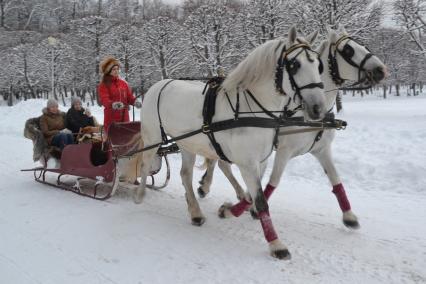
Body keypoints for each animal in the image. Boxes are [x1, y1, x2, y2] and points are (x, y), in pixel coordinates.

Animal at [136, 26, 326, 260]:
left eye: (318, 65)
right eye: (295, 65)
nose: (318, 108)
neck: (249, 108)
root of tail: (159, 84)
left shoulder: (260, 161)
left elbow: (255, 194)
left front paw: (231, 209)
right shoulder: (247, 163)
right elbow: (261, 200)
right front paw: (276, 244)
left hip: (188, 144)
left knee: (185, 175)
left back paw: (195, 212)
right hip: (153, 138)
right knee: (146, 165)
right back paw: (140, 194)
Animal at [198, 26, 388, 229]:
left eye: (362, 45)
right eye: (348, 50)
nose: (381, 70)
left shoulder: (321, 149)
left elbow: (335, 179)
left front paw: (349, 216)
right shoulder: (283, 150)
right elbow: (273, 181)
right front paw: (241, 210)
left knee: (219, 162)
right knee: (218, 162)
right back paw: (207, 187)